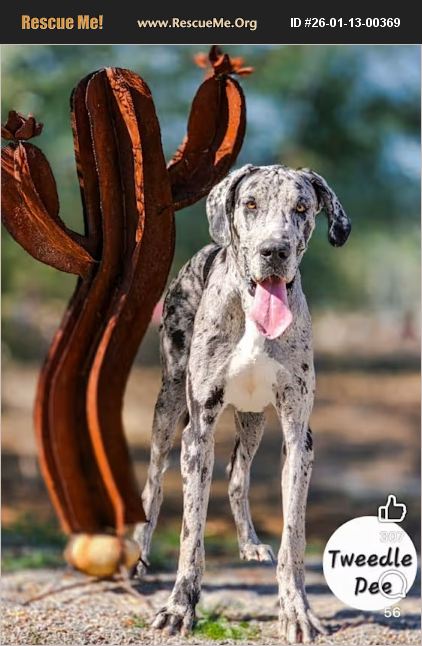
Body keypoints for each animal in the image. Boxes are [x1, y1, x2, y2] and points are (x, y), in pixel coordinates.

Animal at [135, 164, 351, 643]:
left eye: (302, 207)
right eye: (250, 204)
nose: (274, 250)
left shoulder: (298, 434)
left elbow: (293, 536)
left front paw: (297, 611)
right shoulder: (198, 433)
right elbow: (190, 533)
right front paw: (179, 608)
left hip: (254, 419)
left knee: (237, 474)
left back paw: (250, 544)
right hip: (168, 405)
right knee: (153, 485)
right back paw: (139, 557)